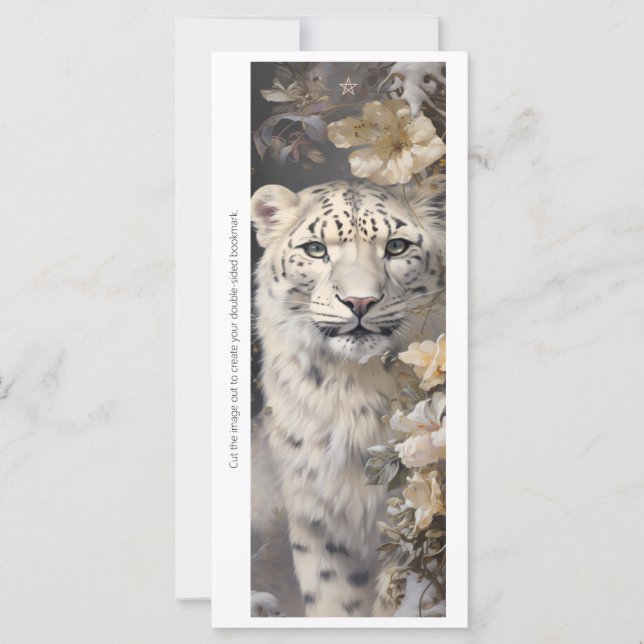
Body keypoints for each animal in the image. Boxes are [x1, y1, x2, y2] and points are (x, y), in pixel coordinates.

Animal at [250, 175, 446, 617]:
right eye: (315, 249)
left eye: (396, 246)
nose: (360, 301)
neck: (352, 391)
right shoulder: (315, 511)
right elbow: (330, 593)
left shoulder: (411, 517)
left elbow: (399, 594)